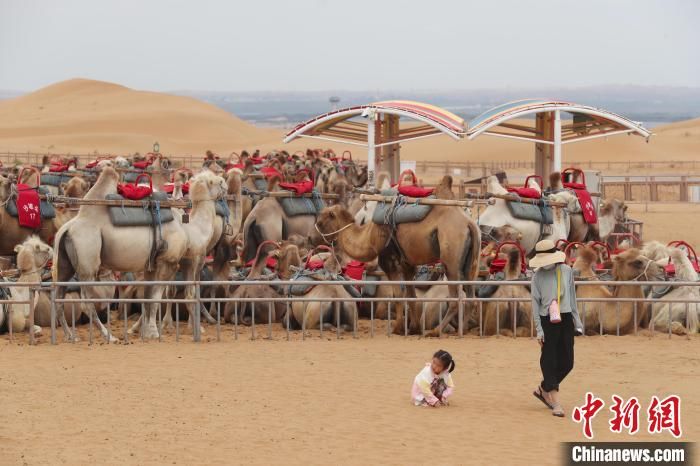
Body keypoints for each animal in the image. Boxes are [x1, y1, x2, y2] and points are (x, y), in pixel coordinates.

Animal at [52, 166, 193, 340]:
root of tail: (67, 229)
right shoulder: (167, 261)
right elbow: (155, 298)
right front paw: (153, 333)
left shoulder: (151, 265)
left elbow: (147, 297)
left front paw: (144, 331)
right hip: (87, 259)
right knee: (86, 301)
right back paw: (108, 336)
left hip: (63, 261)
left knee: (59, 297)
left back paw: (71, 336)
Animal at [314, 176, 482, 334]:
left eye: (321, 221)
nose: (314, 238)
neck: (371, 237)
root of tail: (469, 224)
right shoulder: (408, 264)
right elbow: (411, 296)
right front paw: (414, 328)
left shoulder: (389, 262)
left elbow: (397, 295)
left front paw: (397, 329)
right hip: (471, 263)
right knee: (471, 297)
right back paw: (463, 329)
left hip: (451, 258)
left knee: (455, 297)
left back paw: (436, 331)